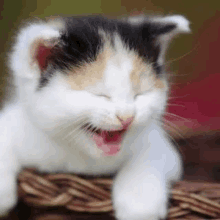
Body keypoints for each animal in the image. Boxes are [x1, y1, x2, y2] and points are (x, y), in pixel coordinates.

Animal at [0, 14, 189, 219]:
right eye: (99, 95)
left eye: (139, 94)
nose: (127, 117)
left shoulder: (159, 143)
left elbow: (150, 156)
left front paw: (140, 205)